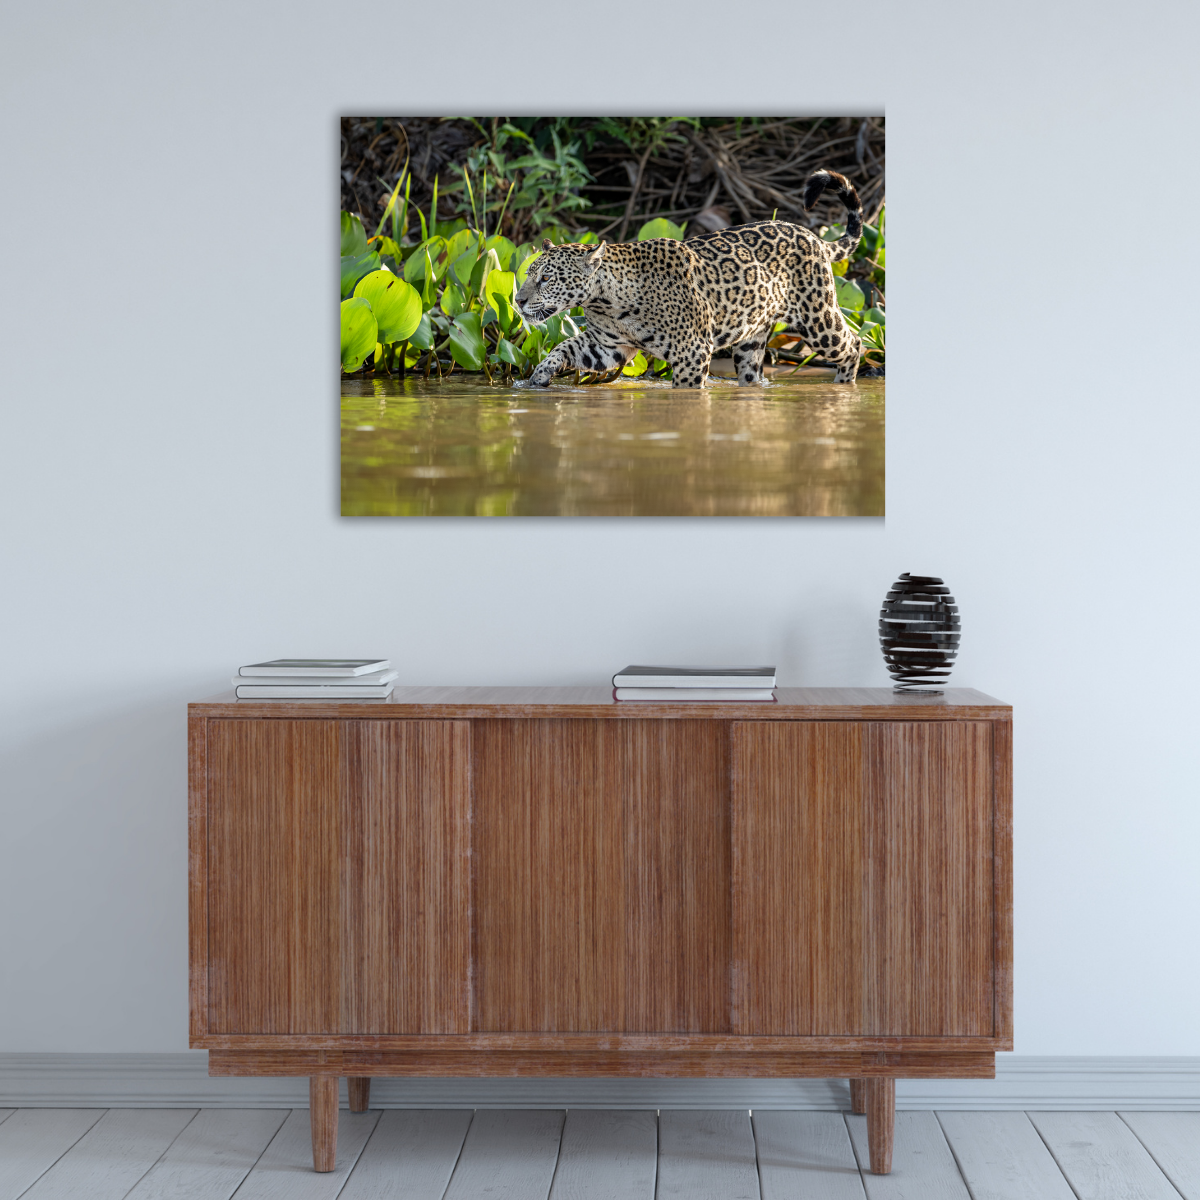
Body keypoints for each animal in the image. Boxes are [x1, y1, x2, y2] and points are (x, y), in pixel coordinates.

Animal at [514, 169, 866, 388]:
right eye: (528, 274)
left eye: (546, 278)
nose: (517, 301)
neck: (607, 301)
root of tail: (813, 236)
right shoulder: (606, 346)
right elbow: (563, 347)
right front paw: (539, 376)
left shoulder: (692, 352)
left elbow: (686, 391)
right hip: (751, 339)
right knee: (752, 372)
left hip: (818, 320)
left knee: (854, 344)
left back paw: (844, 386)